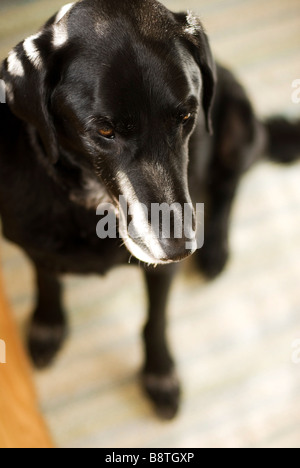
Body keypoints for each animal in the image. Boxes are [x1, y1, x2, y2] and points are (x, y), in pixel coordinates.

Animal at [0, 0, 300, 416]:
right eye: (104, 131)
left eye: (186, 117)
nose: (180, 249)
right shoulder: (34, 243)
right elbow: (46, 279)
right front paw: (48, 325)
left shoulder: (162, 271)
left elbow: (155, 321)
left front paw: (159, 374)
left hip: (239, 126)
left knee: (229, 184)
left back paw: (216, 249)